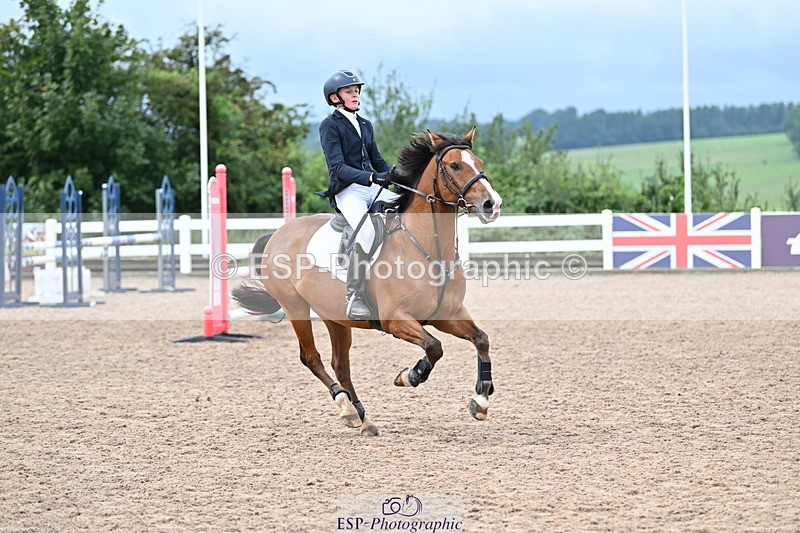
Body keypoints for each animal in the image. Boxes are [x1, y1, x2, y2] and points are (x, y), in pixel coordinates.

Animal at [232, 127, 503, 436]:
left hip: (334, 316)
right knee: (311, 358)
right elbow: (434, 347)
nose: (492, 204)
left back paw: (363, 418)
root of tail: (278, 234)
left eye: (479, 163)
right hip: (295, 307)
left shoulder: (447, 315)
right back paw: (347, 408)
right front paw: (409, 376)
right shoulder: (395, 320)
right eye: (455, 165)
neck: (427, 249)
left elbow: (481, 339)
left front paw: (481, 400)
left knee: (340, 364)